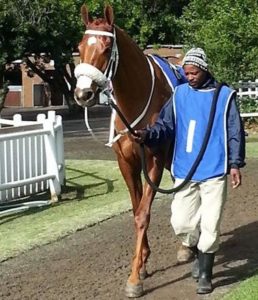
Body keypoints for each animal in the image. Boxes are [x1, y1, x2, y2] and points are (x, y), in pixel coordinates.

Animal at [74, 2, 185, 298]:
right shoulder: (126, 163)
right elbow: (136, 208)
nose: (83, 94)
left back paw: (188, 246)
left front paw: (135, 278)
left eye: (104, 47)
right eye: (79, 47)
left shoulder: (154, 161)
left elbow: (143, 214)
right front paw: (143, 261)